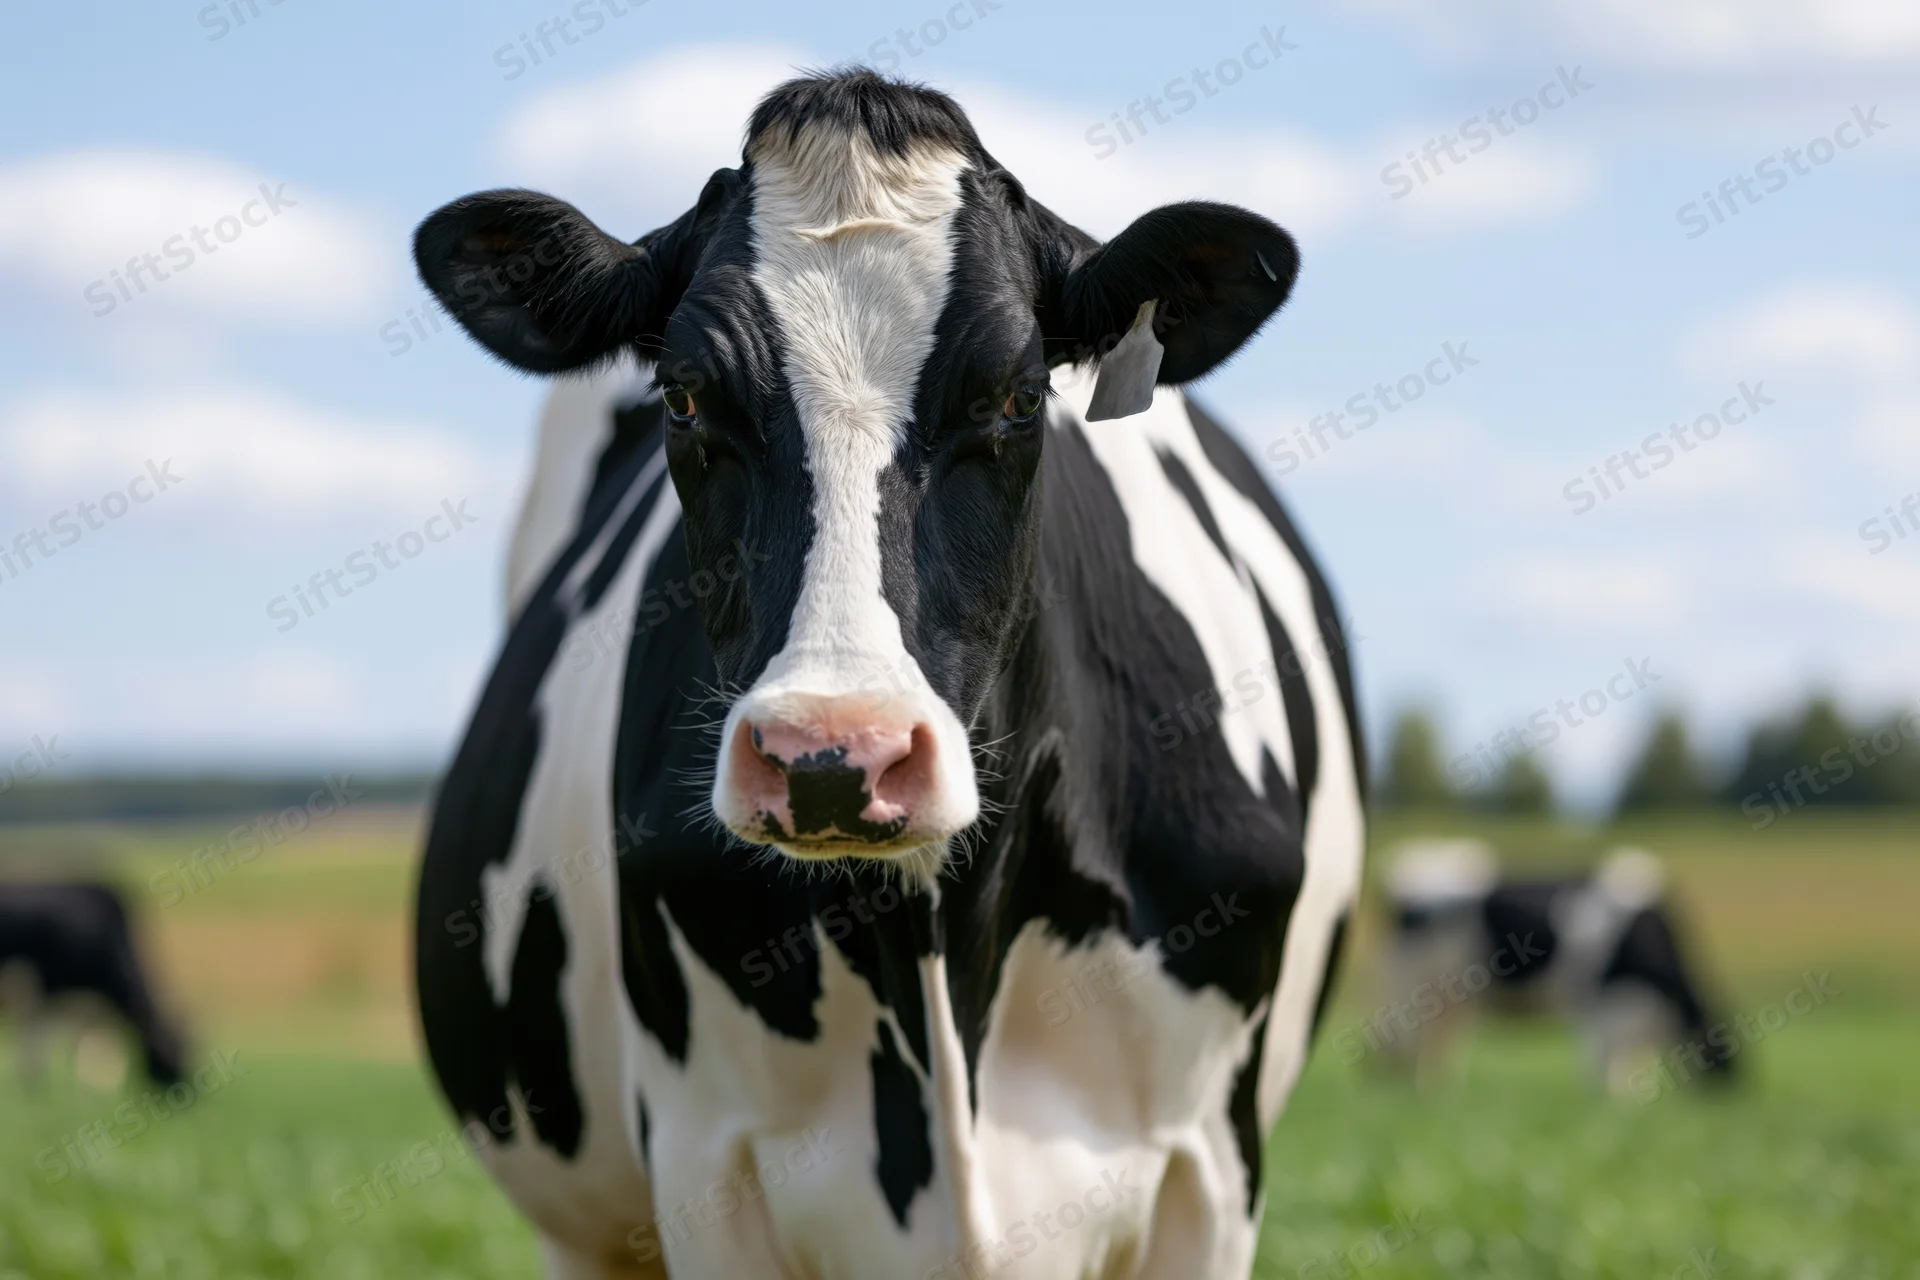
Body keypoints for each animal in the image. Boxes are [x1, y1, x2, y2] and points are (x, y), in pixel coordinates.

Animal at [1366, 840, 1736, 1093]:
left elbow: (1627, 1063)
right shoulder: (1604, 1003)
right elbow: (1605, 1062)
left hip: (1450, 1001)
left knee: (1438, 1045)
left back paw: (1438, 1092)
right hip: (1408, 990)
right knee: (1406, 1046)